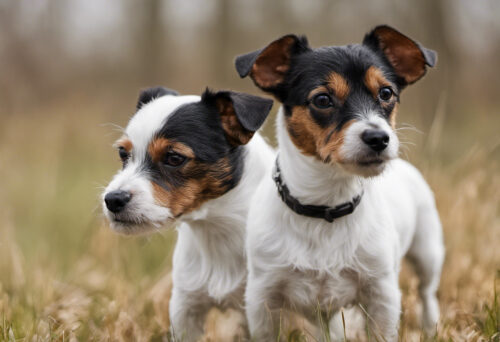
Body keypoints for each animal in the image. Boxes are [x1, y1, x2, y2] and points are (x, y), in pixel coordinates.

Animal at [236, 25, 444, 340]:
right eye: (322, 99)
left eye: (386, 93)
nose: (379, 138)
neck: (326, 206)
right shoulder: (263, 300)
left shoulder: (382, 295)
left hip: (427, 251)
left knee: (426, 291)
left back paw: (430, 326)